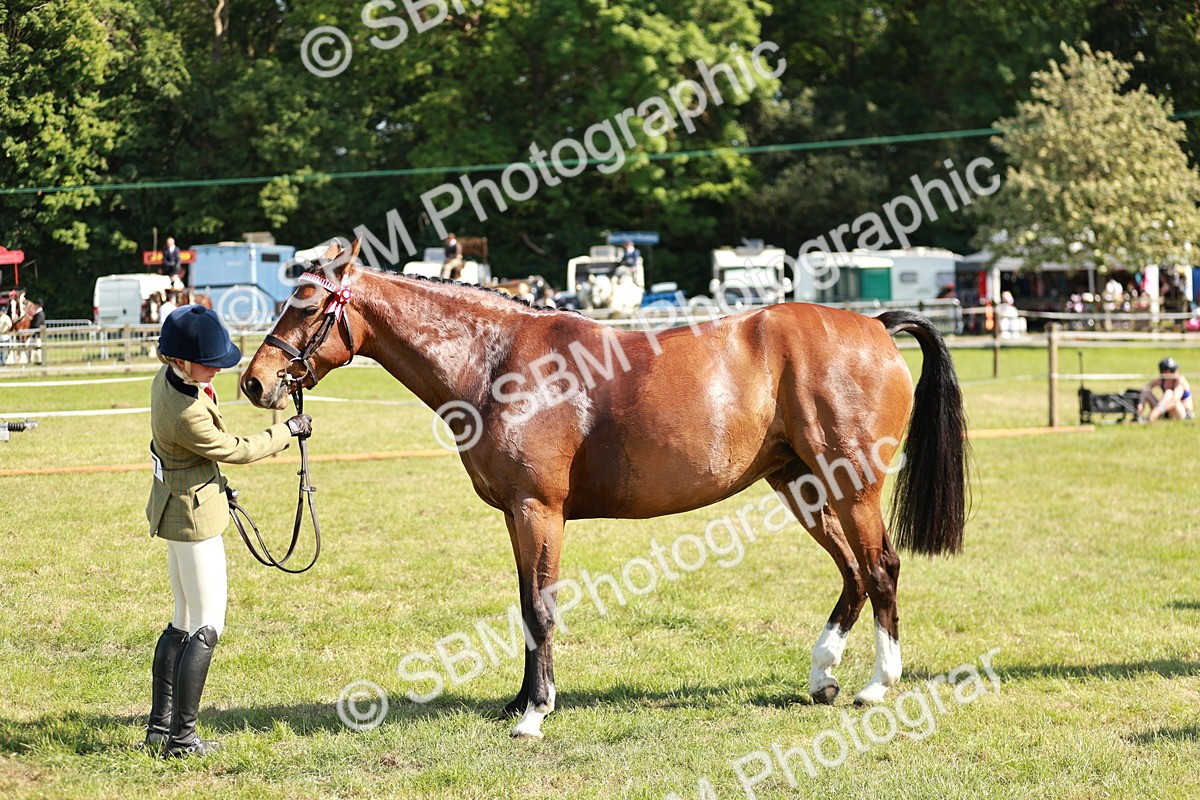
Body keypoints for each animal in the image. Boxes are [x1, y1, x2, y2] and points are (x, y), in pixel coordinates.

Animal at [240, 239, 968, 740]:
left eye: (308, 305)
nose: (254, 381)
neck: (498, 361)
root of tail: (874, 326)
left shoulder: (540, 511)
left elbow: (541, 609)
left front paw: (534, 715)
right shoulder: (517, 515)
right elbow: (525, 606)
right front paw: (520, 700)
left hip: (852, 485)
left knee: (880, 566)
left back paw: (878, 685)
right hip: (801, 483)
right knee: (852, 572)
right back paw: (822, 676)